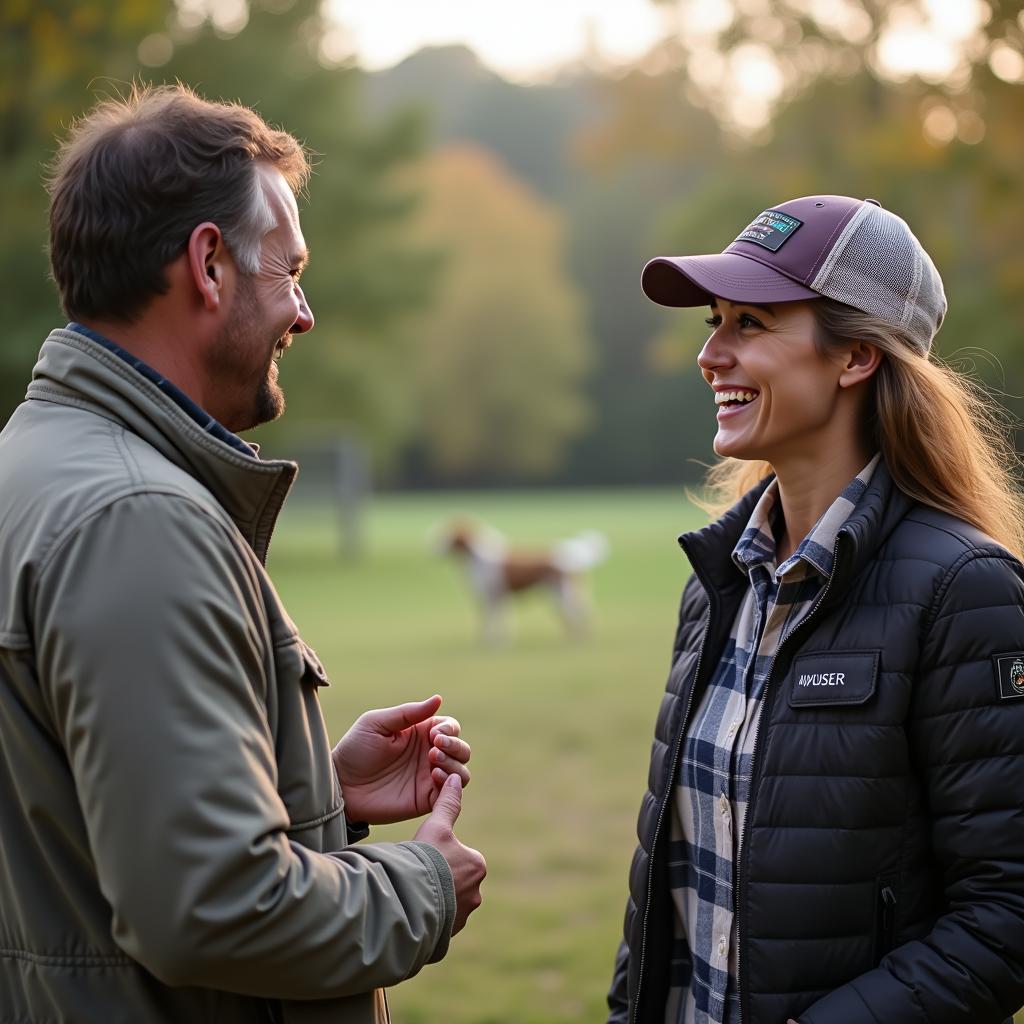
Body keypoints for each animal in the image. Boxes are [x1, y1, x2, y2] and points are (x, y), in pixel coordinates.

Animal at [438, 524, 606, 643]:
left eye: (449, 535)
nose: (435, 546)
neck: (477, 560)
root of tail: (572, 556)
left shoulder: (495, 596)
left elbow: (496, 622)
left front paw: (495, 643)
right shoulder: (491, 598)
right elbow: (491, 621)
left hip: (562, 593)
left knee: (579, 614)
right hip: (561, 595)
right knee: (572, 616)